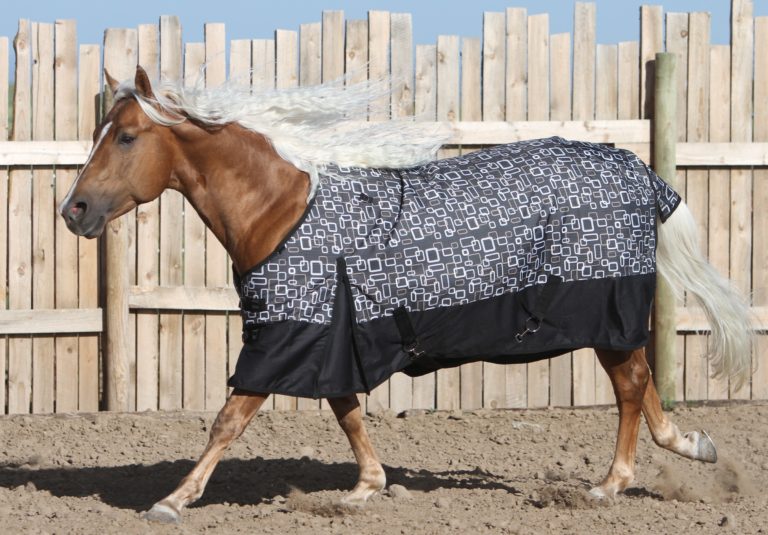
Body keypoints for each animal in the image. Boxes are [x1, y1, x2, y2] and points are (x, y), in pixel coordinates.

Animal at [59, 66, 752, 524]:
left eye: (125, 136)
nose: (74, 210)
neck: (281, 209)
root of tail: (640, 172)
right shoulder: (334, 335)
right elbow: (346, 410)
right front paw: (366, 487)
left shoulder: (286, 333)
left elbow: (230, 416)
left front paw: (172, 500)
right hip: (610, 319)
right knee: (642, 380)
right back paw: (691, 446)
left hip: (603, 308)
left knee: (630, 385)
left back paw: (611, 484)